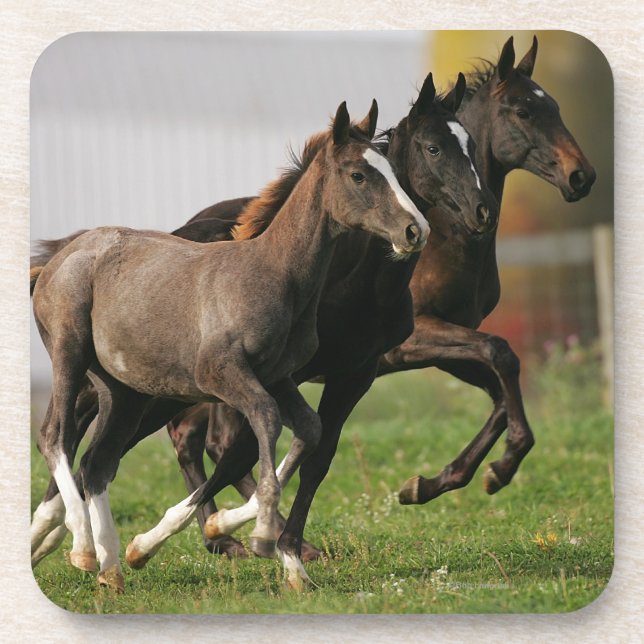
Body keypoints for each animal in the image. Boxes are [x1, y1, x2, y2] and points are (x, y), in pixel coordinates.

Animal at [30, 74, 497, 587]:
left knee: (98, 461)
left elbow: (308, 435)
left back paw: (110, 565)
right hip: (77, 356)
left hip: (126, 389)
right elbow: (265, 427)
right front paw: (261, 534)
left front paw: (271, 546)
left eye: (393, 170)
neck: (276, 271)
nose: (415, 230)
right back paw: (79, 547)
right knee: (57, 436)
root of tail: (62, 254)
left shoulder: (288, 375)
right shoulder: (224, 374)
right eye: (359, 174)